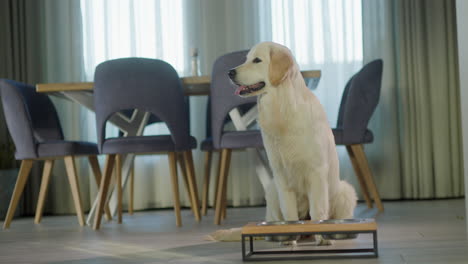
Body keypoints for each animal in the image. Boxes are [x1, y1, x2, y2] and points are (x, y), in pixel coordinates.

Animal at [229, 40, 356, 243]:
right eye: (246, 59)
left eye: (257, 60)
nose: (230, 72)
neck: (283, 108)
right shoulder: (281, 175)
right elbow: (289, 214)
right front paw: (289, 238)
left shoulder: (316, 172)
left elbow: (318, 210)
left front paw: (322, 239)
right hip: (272, 190)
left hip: (344, 191)